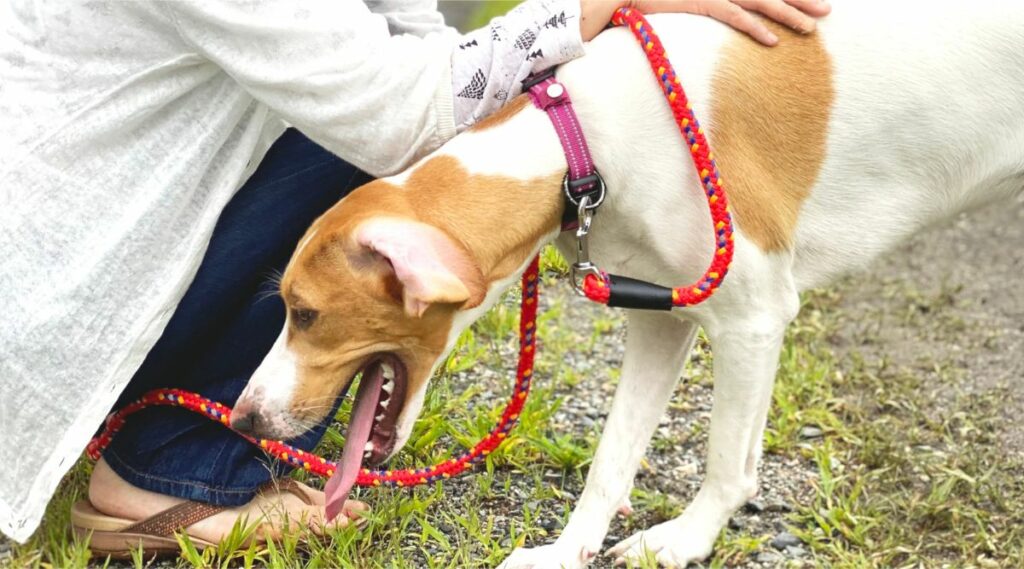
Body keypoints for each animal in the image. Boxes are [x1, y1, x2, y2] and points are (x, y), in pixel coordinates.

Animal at [232, 2, 1024, 564]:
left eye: (304, 313)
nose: (243, 420)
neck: (577, 140)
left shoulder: (753, 319)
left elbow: (724, 462)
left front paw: (687, 539)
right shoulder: (661, 317)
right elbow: (613, 457)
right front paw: (564, 553)